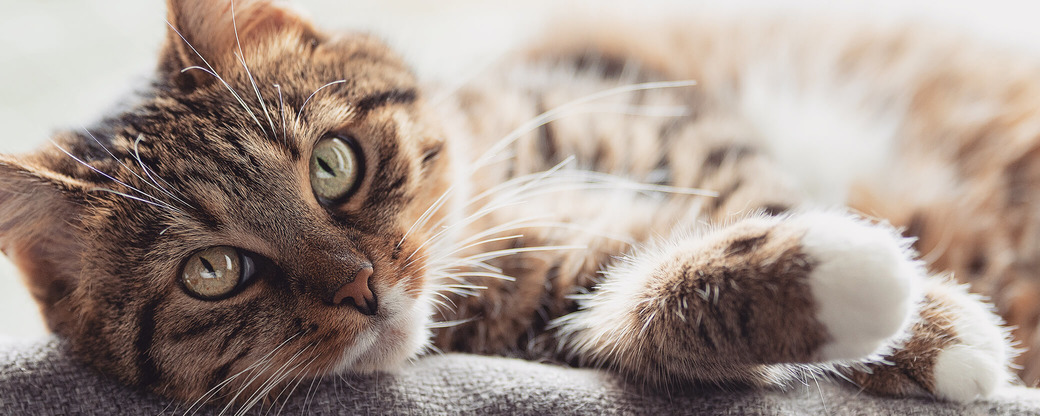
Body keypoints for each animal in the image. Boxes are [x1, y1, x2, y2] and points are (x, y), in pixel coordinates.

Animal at [0, 0, 1031, 411]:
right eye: (212, 272)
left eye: (332, 166)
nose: (363, 287)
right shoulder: (546, 310)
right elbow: (638, 301)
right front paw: (846, 283)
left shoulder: (680, 127)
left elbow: (755, 195)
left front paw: (932, 328)